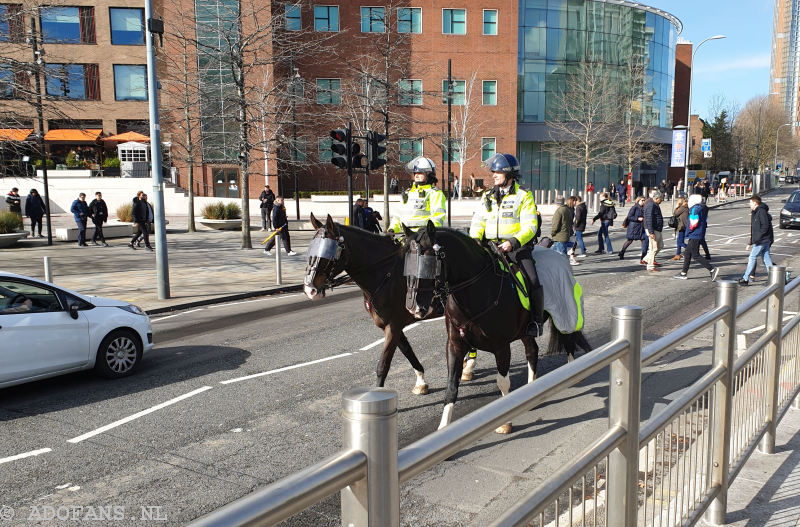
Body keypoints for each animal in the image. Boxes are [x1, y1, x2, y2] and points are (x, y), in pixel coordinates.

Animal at [304, 212, 434, 394]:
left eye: (329, 250)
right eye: (312, 247)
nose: (310, 289)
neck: (387, 273)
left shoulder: (393, 325)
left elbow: (383, 366)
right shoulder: (391, 325)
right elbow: (407, 351)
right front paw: (421, 381)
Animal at [404, 223, 592, 434]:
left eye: (428, 262)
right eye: (406, 261)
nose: (414, 308)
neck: (476, 289)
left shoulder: (501, 346)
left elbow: (502, 382)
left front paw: (504, 422)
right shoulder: (454, 345)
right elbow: (451, 386)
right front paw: (444, 428)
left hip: (564, 313)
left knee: (569, 342)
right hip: (526, 331)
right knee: (532, 351)